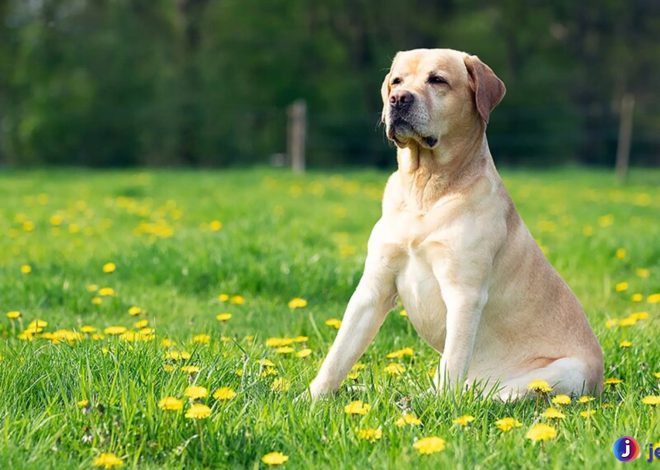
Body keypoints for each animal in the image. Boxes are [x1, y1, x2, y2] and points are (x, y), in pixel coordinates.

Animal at [310, 48, 604, 400]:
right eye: (396, 81)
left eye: (437, 80)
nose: (398, 99)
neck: (425, 188)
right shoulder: (373, 287)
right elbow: (338, 355)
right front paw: (310, 399)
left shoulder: (464, 294)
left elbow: (450, 365)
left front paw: (437, 407)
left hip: (562, 372)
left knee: (487, 396)